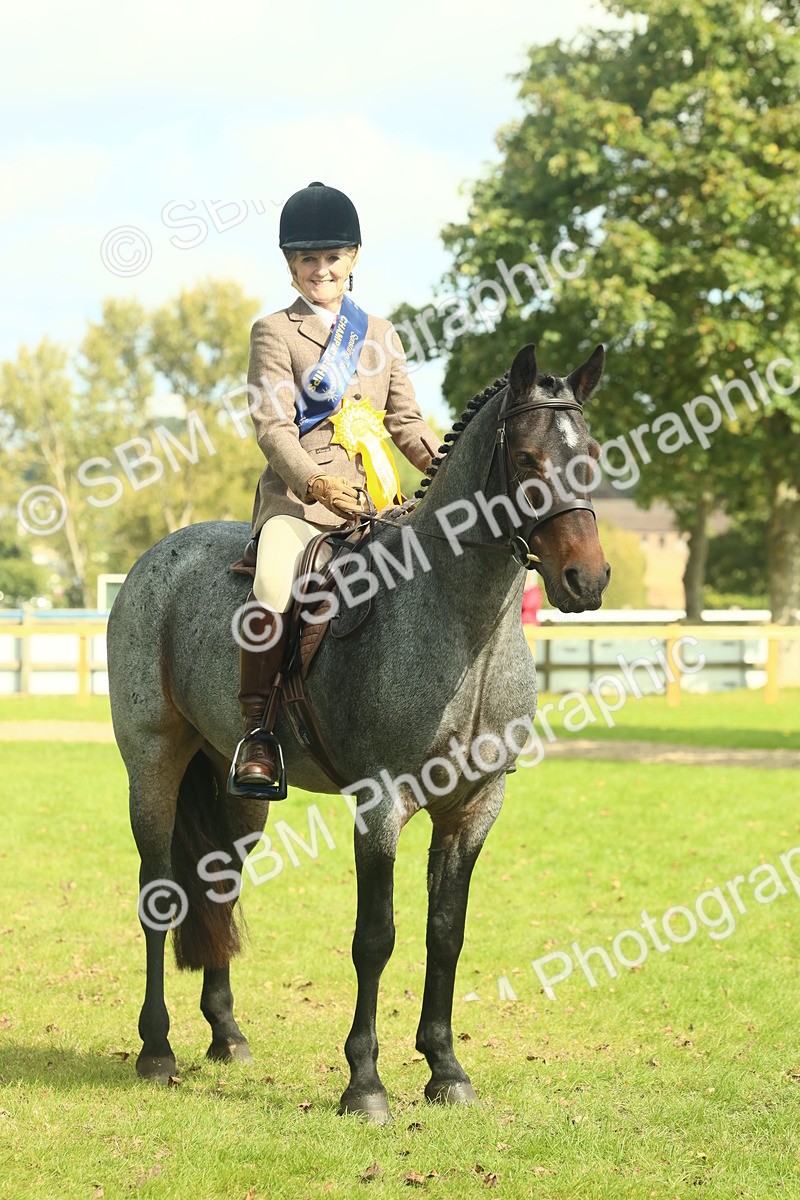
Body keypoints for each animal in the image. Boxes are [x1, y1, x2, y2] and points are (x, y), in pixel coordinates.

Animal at [107, 342, 610, 1122]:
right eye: (527, 457)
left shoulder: (475, 807)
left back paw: (226, 1033)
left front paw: (445, 1069)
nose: (586, 579)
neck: (462, 626)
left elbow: (446, 931)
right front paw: (365, 1084)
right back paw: (157, 1050)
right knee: (159, 894)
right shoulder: (381, 805)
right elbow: (376, 938)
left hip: (238, 788)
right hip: (153, 765)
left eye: (590, 453)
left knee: (219, 885)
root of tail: (157, 558)